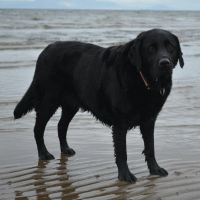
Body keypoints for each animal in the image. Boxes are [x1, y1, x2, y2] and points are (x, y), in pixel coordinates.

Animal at [14, 28, 184, 183]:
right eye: (150, 48)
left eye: (170, 47)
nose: (165, 63)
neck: (143, 79)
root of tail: (45, 50)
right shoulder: (120, 123)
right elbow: (122, 152)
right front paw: (125, 175)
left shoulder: (149, 119)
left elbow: (150, 147)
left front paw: (155, 169)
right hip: (50, 99)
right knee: (38, 128)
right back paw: (43, 154)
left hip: (71, 104)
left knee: (61, 126)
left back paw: (65, 149)